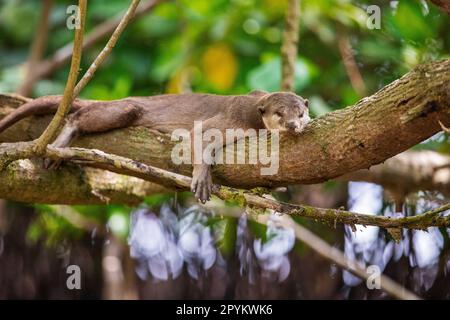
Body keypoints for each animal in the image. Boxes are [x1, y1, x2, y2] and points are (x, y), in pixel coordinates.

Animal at [0, 89, 310, 201]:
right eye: (280, 113)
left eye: (300, 113)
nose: (292, 125)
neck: (254, 111)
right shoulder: (230, 119)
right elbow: (199, 137)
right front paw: (202, 179)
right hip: (127, 109)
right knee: (77, 116)